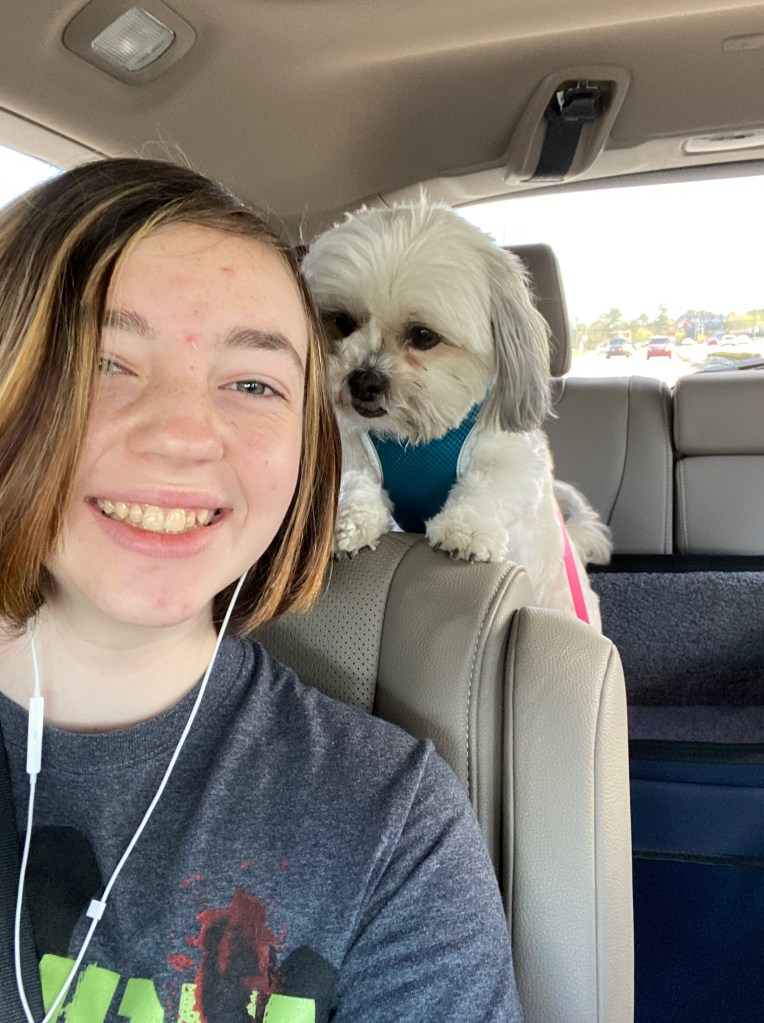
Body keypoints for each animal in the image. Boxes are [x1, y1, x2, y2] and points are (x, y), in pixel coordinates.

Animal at [302, 201, 612, 628]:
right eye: (342, 322)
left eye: (423, 336)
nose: (364, 379)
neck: (416, 437)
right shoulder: (353, 447)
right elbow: (353, 482)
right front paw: (348, 523)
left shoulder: (516, 461)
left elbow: (488, 487)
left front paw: (466, 532)